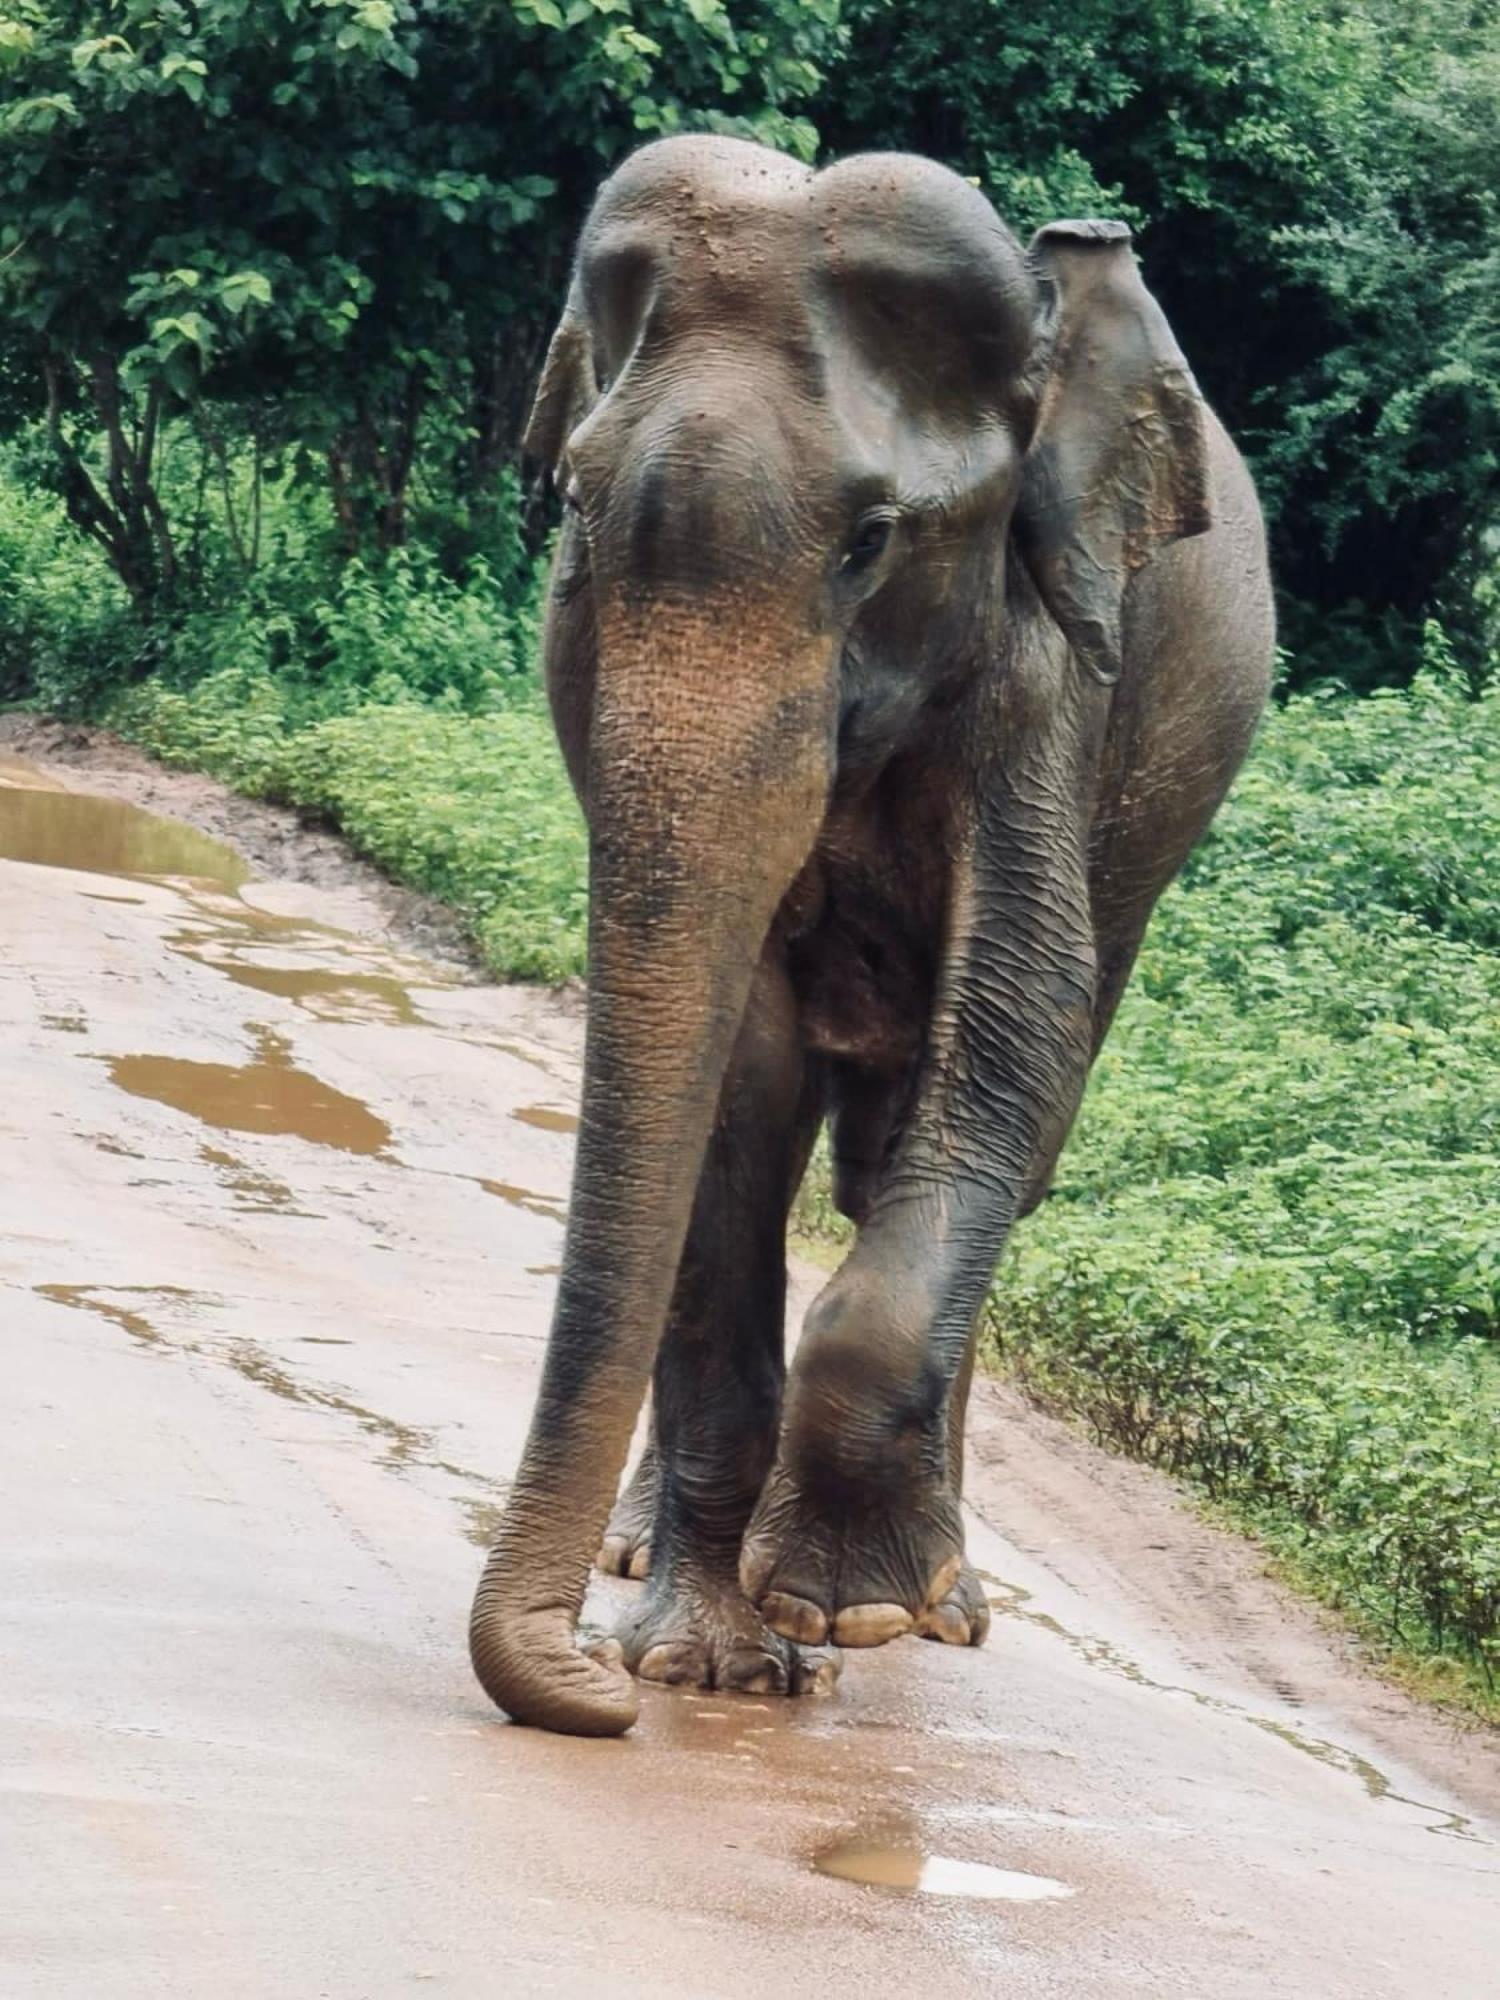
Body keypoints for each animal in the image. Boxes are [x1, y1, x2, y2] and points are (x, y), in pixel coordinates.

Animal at [470, 141, 1280, 1736]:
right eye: (576, 500)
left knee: (996, 1140)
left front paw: (837, 1608)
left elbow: (1021, 1019)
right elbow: (736, 1071)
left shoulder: (1047, 668)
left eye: (869, 543)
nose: (585, 1691)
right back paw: (660, 1556)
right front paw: (703, 1662)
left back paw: (938, 1602)